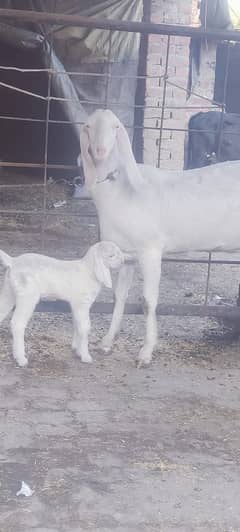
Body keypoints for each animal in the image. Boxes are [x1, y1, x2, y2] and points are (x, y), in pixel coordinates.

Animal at [80, 108, 240, 366]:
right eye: (88, 126)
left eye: (116, 127)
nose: (100, 150)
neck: (121, 191)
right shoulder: (128, 255)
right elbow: (119, 297)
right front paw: (106, 342)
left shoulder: (150, 251)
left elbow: (148, 301)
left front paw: (145, 353)